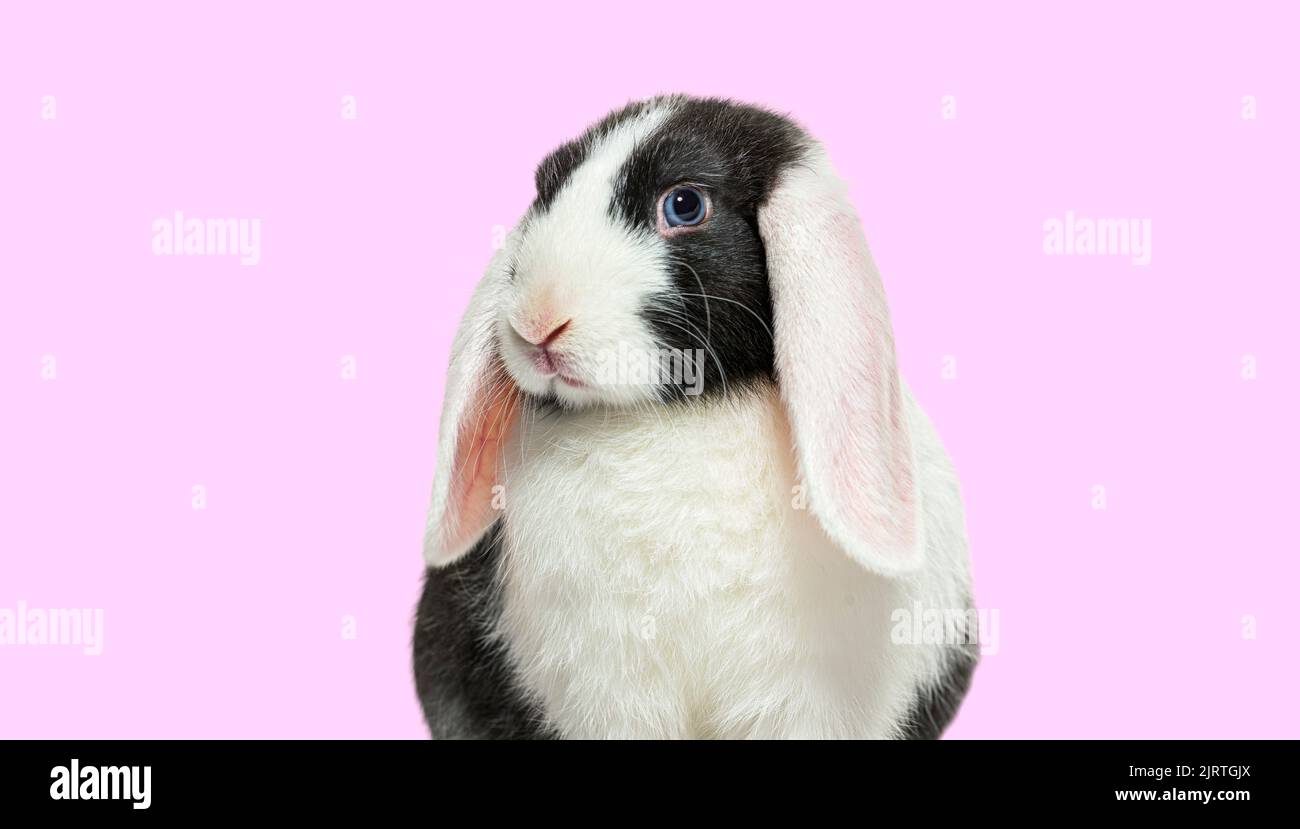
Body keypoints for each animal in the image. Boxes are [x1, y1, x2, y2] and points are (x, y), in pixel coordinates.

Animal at [413, 95, 978, 739]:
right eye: (546, 188)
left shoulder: (803, 699)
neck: (678, 414)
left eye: (684, 205)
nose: (537, 321)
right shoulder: (607, 693)